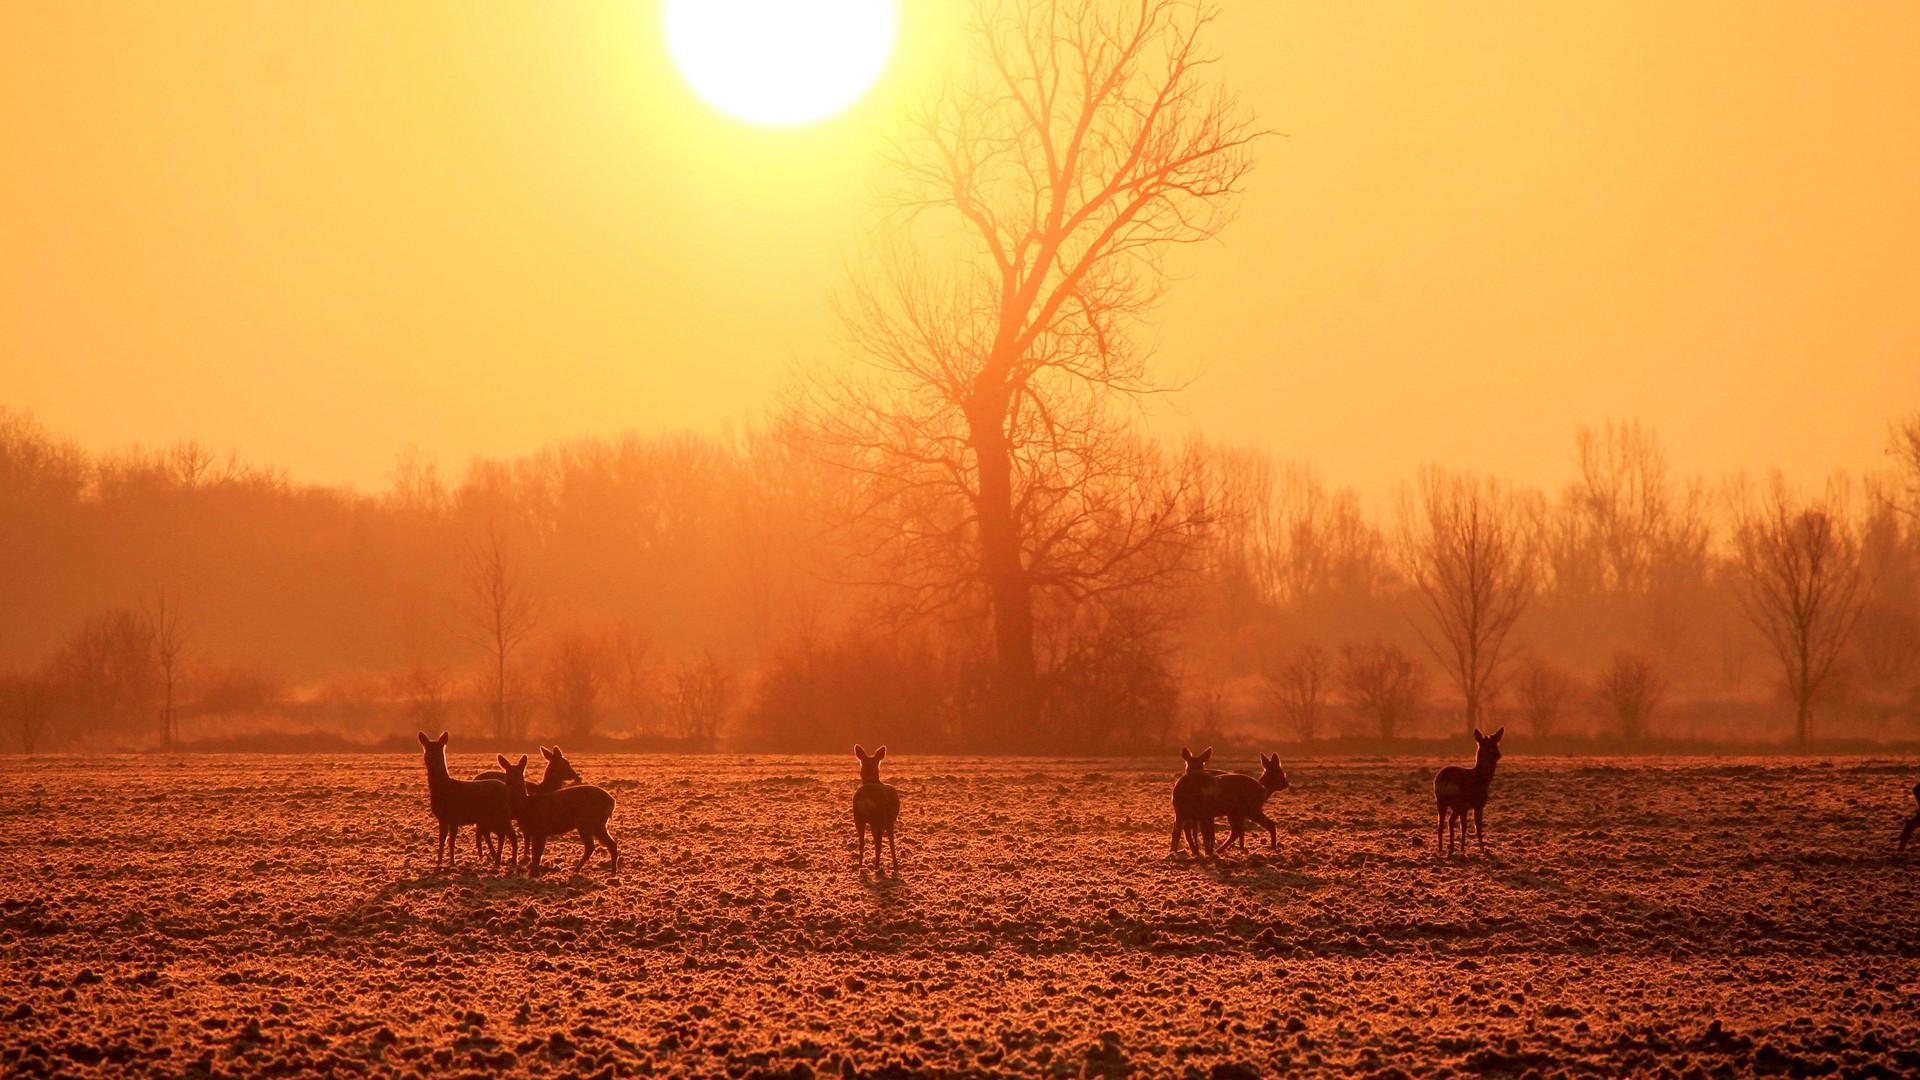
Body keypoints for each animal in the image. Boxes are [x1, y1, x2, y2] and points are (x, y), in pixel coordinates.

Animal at [416, 726, 514, 868]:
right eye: (427, 751)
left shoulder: (455, 816)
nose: (432, 766)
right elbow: (442, 840)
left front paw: (452, 863)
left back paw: (501, 860)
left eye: (439, 752)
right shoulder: (442, 818)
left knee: (505, 834)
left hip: (500, 814)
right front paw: (439, 863)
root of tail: (506, 789)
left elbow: (451, 841)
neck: (444, 789)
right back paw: (499, 860)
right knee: (504, 834)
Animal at [852, 737, 902, 876]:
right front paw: (896, 866)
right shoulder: (889, 820)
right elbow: (891, 842)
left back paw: (861, 866)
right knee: (879, 844)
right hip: (879, 818)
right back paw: (877, 868)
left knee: (862, 842)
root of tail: (866, 800)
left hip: (858, 818)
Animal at [1436, 722, 1505, 857]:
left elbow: (1464, 827)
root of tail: (1445, 780)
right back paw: (1451, 849)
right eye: (1486, 746)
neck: (1482, 779)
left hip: (1440, 801)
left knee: (1440, 825)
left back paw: (1441, 849)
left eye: (1495, 743)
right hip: (1457, 802)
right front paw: (1483, 850)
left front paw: (1463, 849)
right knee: (1450, 821)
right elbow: (1478, 826)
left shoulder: (1465, 808)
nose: (1497, 754)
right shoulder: (1478, 804)